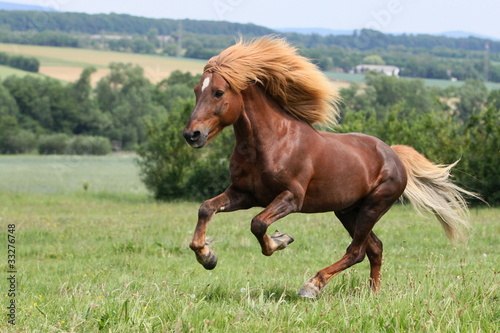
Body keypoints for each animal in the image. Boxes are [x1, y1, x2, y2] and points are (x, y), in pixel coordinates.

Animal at [183, 37, 476, 298]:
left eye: (219, 92)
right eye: (196, 90)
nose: (191, 135)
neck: (273, 142)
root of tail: (394, 155)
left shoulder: (291, 198)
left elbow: (258, 224)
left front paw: (281, 239)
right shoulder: (245, 194)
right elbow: (206, 208)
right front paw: (208, 256)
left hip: (374, 206)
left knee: (357, 251)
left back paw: (312, 286)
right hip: (348, 211)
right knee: (375, 248)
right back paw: (373, 294)